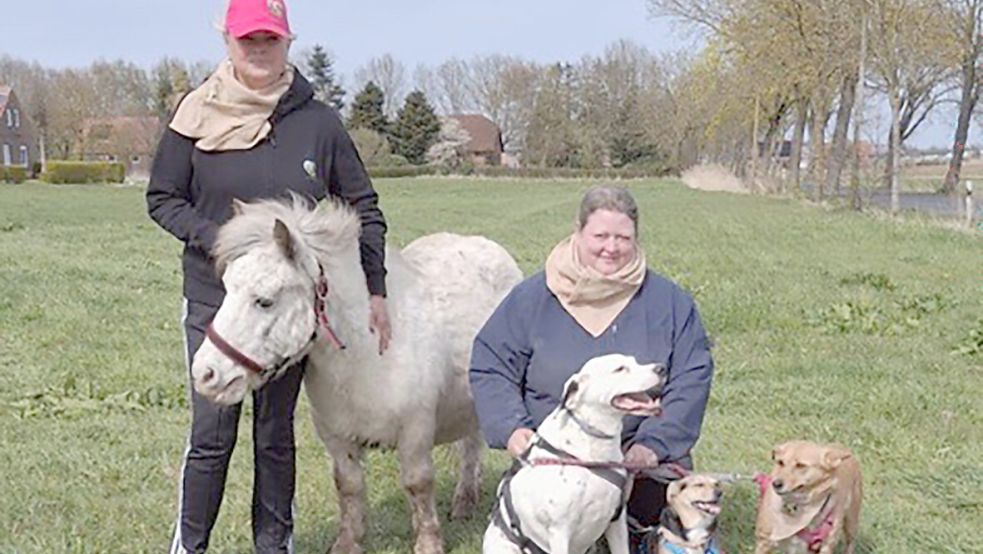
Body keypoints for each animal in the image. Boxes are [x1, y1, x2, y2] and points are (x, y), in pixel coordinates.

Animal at [189, 195, 523, 554]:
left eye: (264, 301)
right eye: (226, 288)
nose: (205, 374)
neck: (366, 352)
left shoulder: (415, 432)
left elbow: (418, 484)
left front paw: (428, 543)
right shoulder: (337, 437)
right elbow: (348, 486)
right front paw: (348, 543)